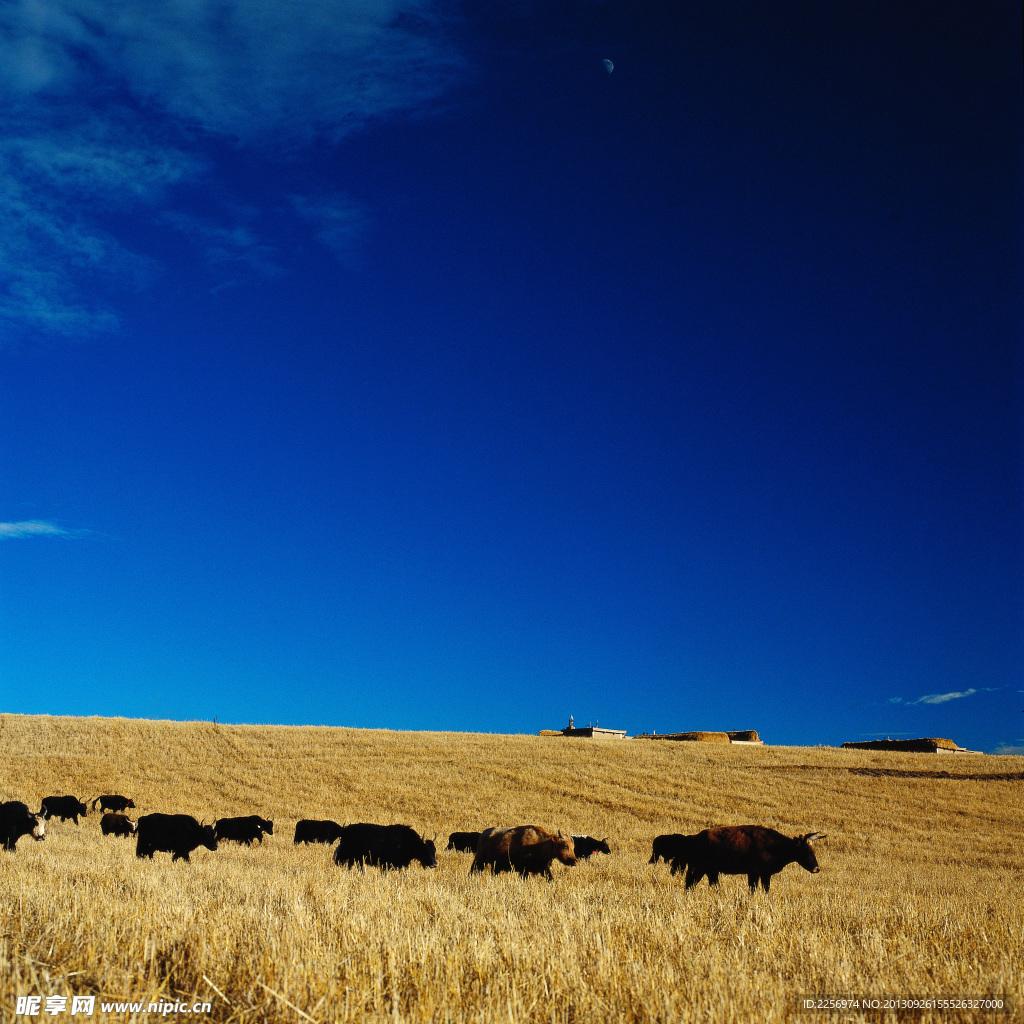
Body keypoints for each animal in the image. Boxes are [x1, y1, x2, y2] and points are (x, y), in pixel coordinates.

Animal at [667, 819, 827, 892]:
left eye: (813, 850)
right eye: (805, 850)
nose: (817, 868)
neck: (774, 845)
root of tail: (693, 838)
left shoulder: (765, 874)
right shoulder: (754, 873)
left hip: (709, 870)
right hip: (700, 868)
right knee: (691, 883)